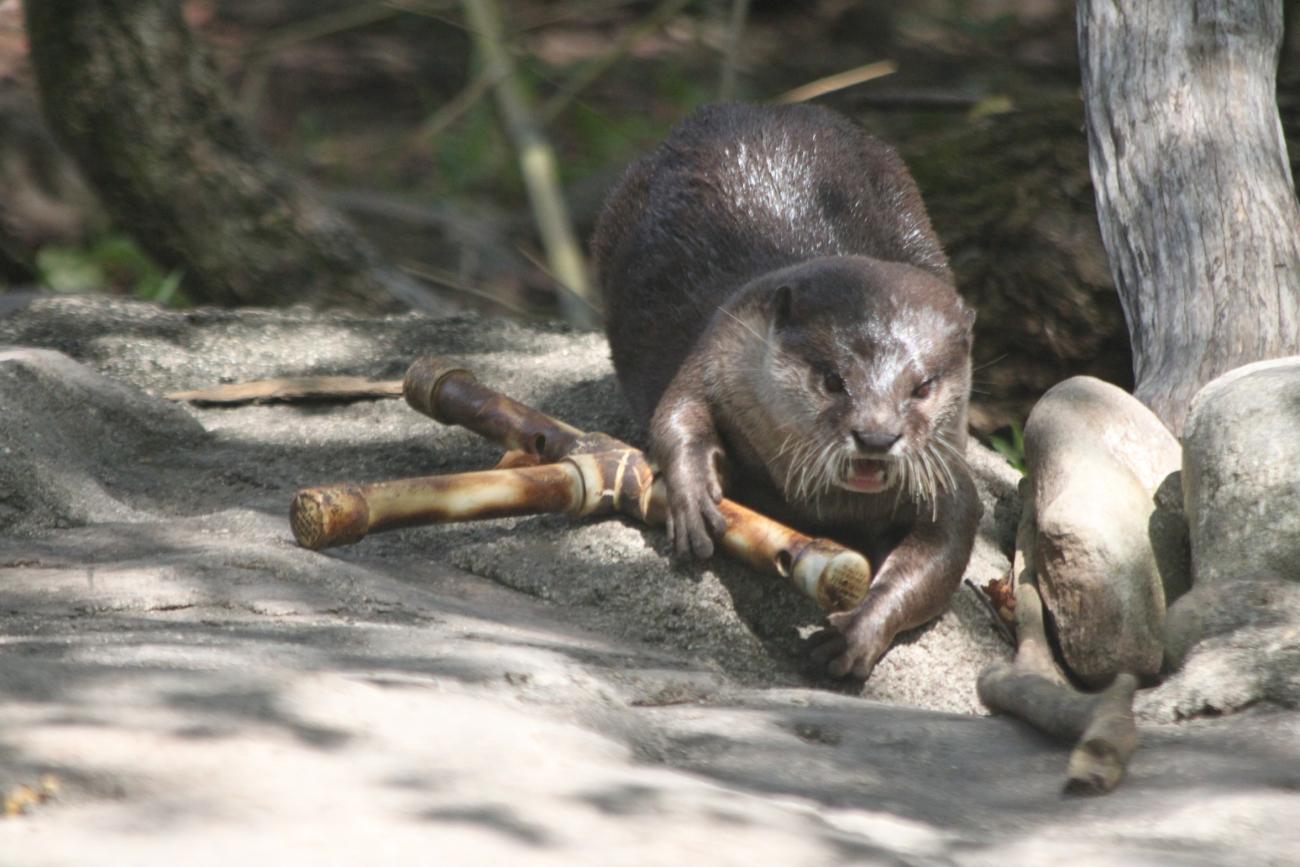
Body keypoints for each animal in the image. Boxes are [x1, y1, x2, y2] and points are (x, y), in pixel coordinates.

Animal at [590, 105, 977, 681]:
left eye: (923, 386)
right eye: (833, 379)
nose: (876, 436)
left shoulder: (947, 472)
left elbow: (945, 546)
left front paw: (855, 632)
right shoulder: (718, 346)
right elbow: (677, 414)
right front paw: (693, 495)